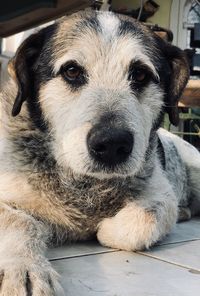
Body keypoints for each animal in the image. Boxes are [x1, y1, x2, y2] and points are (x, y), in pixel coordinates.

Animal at [0, 9, 200, 296]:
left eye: (140, 75)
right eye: (72, 71)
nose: (112, 144)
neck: (84, 184)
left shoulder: (161, 194)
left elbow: (142, 219)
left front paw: (104, 228)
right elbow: (19, 221)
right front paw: (24, 268)